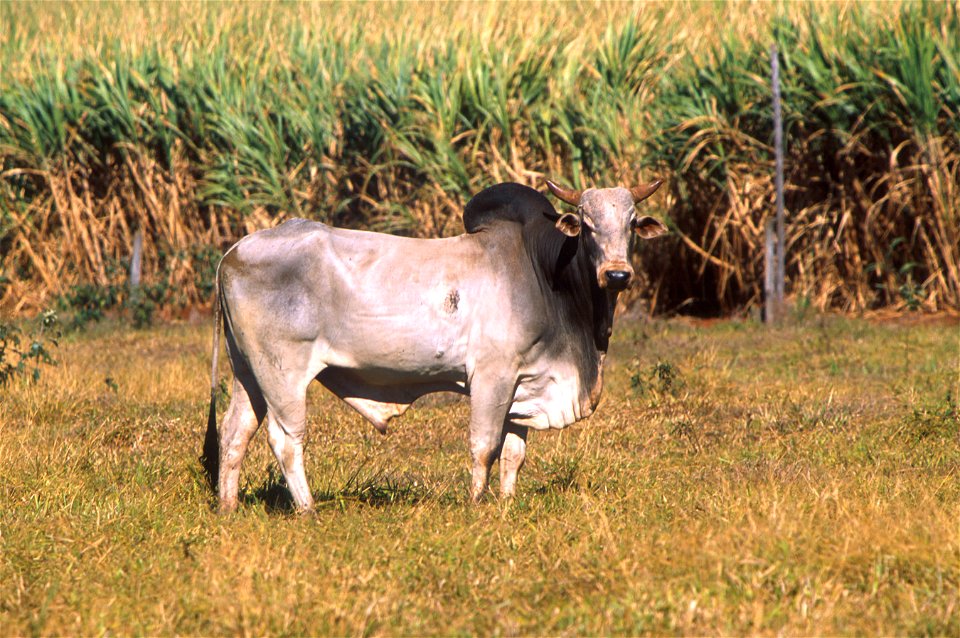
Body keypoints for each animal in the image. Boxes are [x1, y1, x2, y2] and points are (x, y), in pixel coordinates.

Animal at [202, 180, 668, 516]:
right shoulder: (492, 376)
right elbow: (484, 446)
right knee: (286, 439)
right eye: (587, 225)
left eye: (631, 225)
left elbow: (513, 455)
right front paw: (476, 505)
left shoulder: (524, 384)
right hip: (283, 372)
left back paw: (228, 507)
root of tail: (234, 251)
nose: (618, 274)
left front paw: (506, 504)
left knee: (235, 432)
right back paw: (308, 509)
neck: (543, 273)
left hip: (248, 372)